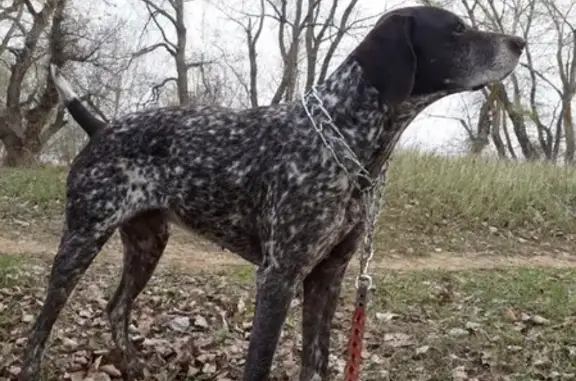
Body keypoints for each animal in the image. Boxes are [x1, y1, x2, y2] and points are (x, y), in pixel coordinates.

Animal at [20, 5, 528, 380]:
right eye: (457, 30)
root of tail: (102, 127)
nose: (519, 43)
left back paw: (134, 367)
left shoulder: (328, 277)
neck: (347, 135)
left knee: (116, 307)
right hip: (82, 239)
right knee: (41, 327)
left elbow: (316, 364)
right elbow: (259, 366)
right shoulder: (279, 276)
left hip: (148, 243)